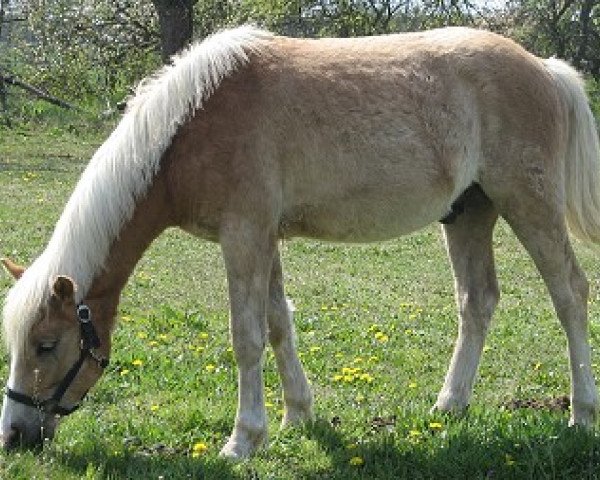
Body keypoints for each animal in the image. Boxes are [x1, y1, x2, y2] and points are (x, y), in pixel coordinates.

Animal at [1, 25, 600, 458]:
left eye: (46, 345)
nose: (14, 435)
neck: (192, 124)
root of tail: (545, 69)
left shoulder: (244, 236)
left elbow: (246, 337)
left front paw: (243, 439)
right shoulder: (265, 238)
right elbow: (277, 323)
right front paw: (296, 415)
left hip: (528, 204)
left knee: (570, 294)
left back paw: (581, 413)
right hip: (470, 215)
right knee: (477, 302)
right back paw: (450, 404)